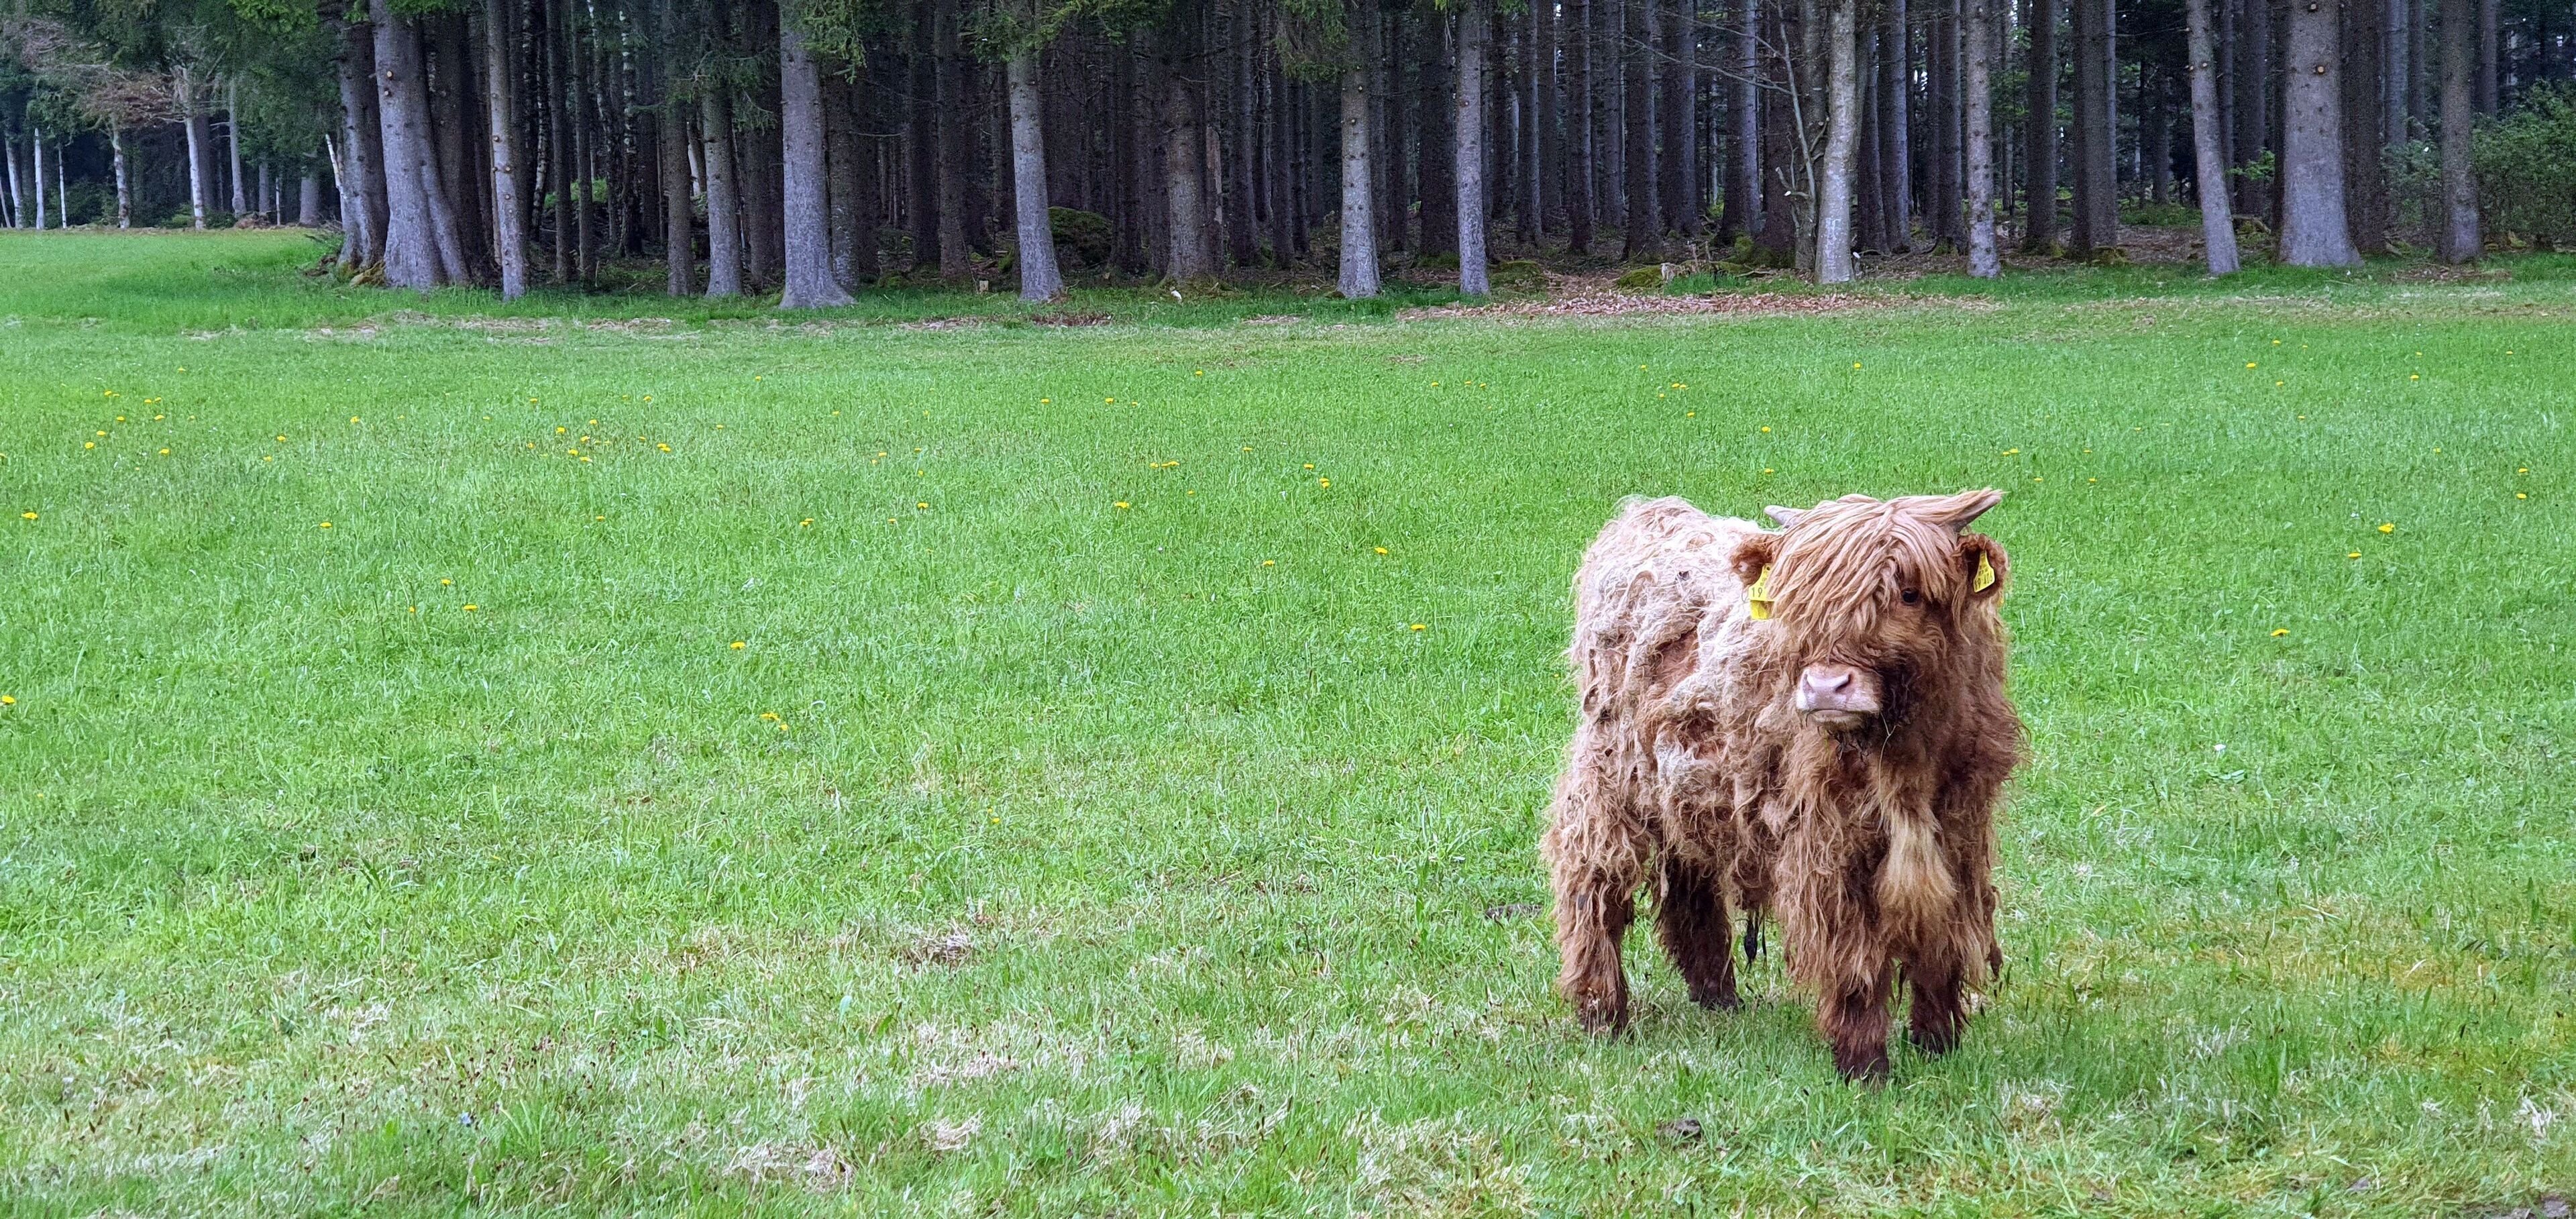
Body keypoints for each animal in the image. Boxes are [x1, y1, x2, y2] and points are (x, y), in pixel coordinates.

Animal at [1539, 489, 2022, 1079]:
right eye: (1801, 604)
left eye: (1908, 593)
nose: (1825, 687)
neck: (1906, 760)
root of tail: (1651, 512)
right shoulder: (1830, 839)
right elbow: (1854, 956)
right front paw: (1864, 1065)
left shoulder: (1962, 829)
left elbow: (1943, 941)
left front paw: (1939, 1044)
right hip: (1612, 772)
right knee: (1591, 876)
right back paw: (1602, 1012)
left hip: (1690, 780)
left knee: (1690, 879)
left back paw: (1717, 995)